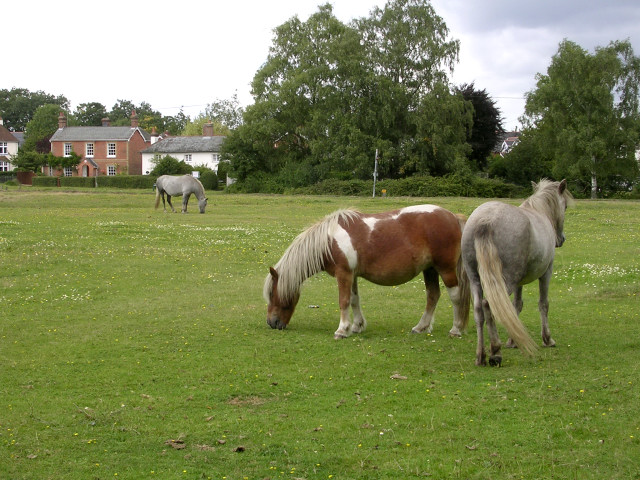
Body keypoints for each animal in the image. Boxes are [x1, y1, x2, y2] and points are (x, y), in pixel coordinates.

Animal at [264, 205, 470, 339]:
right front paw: (356, 326)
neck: (328, 242)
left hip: (445, 269)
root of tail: (452, 216)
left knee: (455, 296)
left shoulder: (343, 274)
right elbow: (354, 300)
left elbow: (344, 301)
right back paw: (420, 327)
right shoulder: (352, 275)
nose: (272, 323)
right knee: (432, 296)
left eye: (272, 293)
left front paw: (342, 330)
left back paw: (456, 329)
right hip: (430, 270)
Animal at [461, 179, 574, 366]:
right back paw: (495, 352)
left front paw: (513, 340)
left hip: (475, 279)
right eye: (564, 206)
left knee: (478, 310)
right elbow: (543, 304)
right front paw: (547, 339)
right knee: (488, 305)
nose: (561, 239)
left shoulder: (519, 282)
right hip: (506, 281)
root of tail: (485, 220)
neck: (539, 212)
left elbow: (516, 306)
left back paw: (480, 356)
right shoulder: (546, 273)